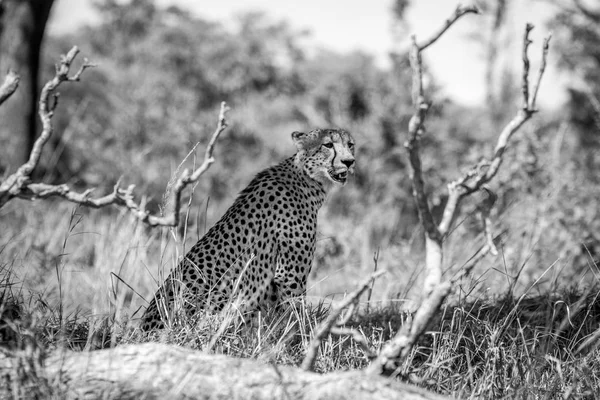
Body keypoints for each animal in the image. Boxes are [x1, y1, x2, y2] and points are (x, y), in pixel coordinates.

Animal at [141, 128, 354, 332]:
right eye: (328, 145)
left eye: (350, 144)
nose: (349, 161)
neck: (306, 178)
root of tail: (144, 330)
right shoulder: (289, 275)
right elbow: (295, 315)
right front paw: (301, 337)